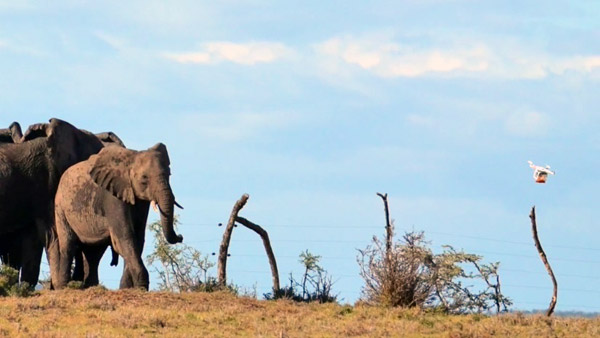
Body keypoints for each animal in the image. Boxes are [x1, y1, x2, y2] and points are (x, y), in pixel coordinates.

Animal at [51, 144, 183, 290]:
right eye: (144, 178)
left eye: (169, 174)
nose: (180, 237)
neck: (131, 159)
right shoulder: (113, 196)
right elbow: (124, 237)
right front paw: (141, 287)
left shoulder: (140, 201)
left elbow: (137, 238)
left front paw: (127, 288)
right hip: (60, 207)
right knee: (68, 245)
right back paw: (64, 287)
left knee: (93, 254)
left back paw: (90, 286)